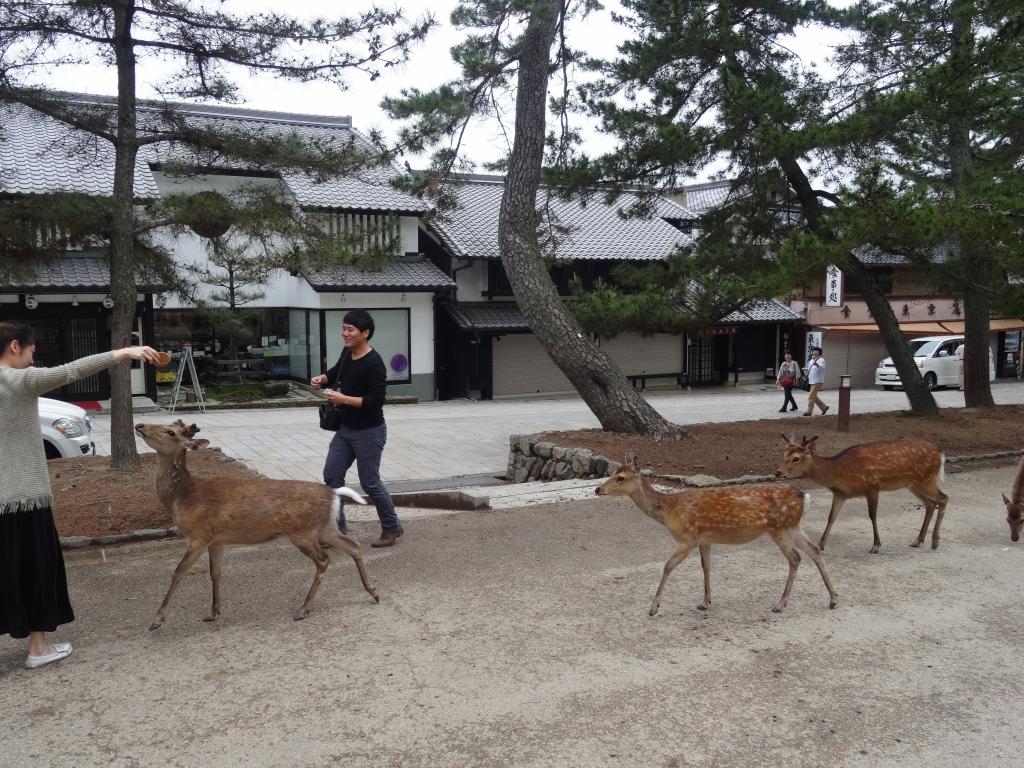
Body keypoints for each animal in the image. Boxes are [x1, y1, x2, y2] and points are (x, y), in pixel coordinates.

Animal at [134, 421, 378, 630]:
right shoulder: (216, 539)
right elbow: (215, 573)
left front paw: (157, 620)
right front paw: (214, 612)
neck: (181, 498)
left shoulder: (199, 534)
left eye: (170, 432)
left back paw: (304, 609)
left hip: (303, 531)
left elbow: (179, 572)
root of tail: (334, 493)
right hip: (325, 528)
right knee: (354, 546)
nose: (140, 425)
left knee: (324, 560)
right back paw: (373, 591)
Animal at [598, 454, 835, 618]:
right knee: (814, 550)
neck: (668, 510)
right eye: (612, 473)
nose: (598, 489)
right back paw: (833, 599)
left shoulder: (687, 538)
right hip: (793, 527)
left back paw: (780, 604)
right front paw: (705, 602)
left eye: (620, 477)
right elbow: (706, 567)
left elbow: (667, 566)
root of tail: (805, 496)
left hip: (780, 528)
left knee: (795, 558)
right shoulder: (704, 539)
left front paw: (653, 608)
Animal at [778, 436, 946, 557]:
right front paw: (820, 545)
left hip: (927, 479)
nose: (778, 472)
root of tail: (941, 454)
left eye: (796, 458)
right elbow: (831, 517)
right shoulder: (840, 494)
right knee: (931, 503)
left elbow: (872, 515)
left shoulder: (872, 486)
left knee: (943, 498)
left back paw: (935, 541)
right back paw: (918, 540)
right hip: (914, 484)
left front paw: (876, 545)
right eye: (784, 455)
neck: (841, 473)